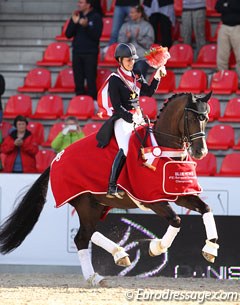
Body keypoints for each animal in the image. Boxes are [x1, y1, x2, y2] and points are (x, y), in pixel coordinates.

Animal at [0, 91, 219, 286]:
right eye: (192, 117)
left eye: (206, 118)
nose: (201, 152)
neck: (163, 148)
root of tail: (56, 160)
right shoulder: (152, 200)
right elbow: (176, 220)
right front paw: (156, 248)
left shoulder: (180, 194)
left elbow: (206, 209)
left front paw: (210, 250)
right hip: (85, 203)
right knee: (84, 235)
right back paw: (111, 262)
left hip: (97, 205)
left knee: (85, 236)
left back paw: (104, 269)